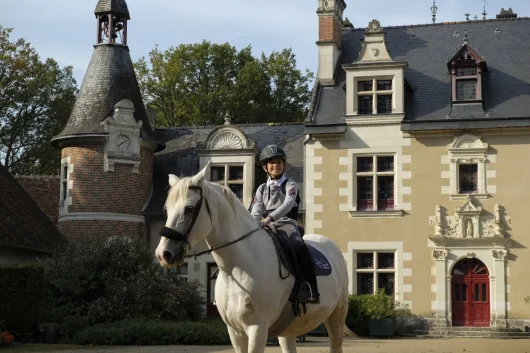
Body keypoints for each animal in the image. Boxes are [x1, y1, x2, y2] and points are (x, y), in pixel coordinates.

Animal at [155, 165, 348, 352]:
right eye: (167, 209)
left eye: (189, 208)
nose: (163, 254)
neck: (235, 268)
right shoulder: (234, 331)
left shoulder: (257, 329)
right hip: (288, 328)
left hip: (336, 318)